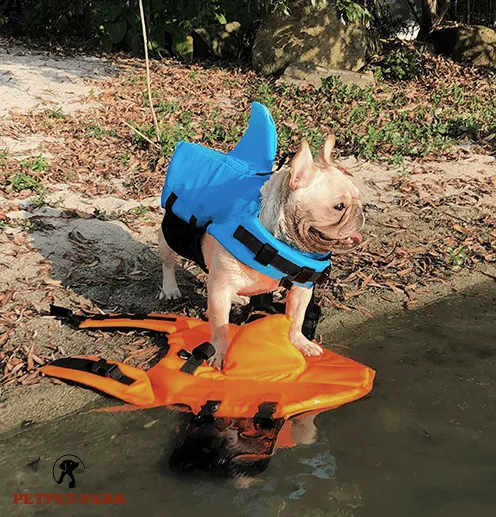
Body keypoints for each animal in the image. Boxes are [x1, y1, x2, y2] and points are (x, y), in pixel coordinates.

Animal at [159, 133, 364, 366]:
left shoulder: (301, 289)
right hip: (170, 238)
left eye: (358, 196)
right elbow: (220, 326)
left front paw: (299, 343)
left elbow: (297, 318)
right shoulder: (220, 290)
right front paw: (219, 353)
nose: (360, 211)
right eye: (338, 207)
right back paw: (171, 289)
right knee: (169, 263)